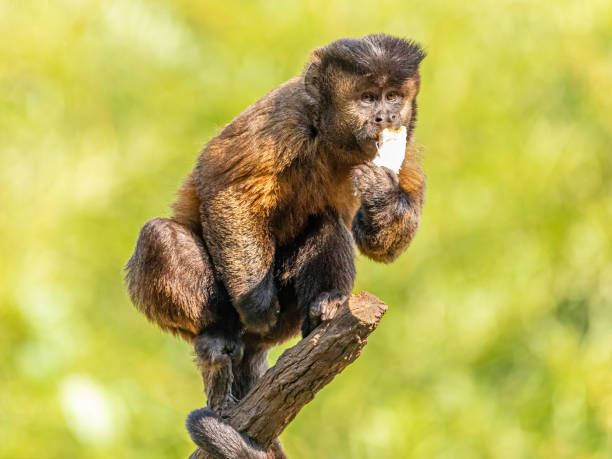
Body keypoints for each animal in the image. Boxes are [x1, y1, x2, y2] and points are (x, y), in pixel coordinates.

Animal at [125, 34, 426, 458]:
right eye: (368, 98)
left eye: (393, 97)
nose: (386, 117)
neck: (333, 138)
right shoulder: (285, 114)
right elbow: (224, 187)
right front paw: (258, 304)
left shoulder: (406, 138)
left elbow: (386, 246)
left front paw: (382, 195)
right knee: (158, 236)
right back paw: (217, 334)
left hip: (289, 319)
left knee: (325, 223)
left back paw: (326, 305)